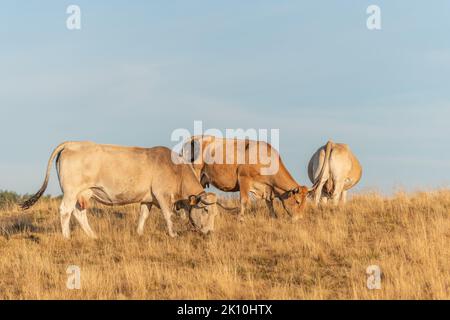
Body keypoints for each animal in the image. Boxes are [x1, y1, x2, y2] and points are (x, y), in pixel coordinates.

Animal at [20, 141, 221, 239]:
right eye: (205, 210)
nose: (210, 232)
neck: (176, 170)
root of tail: (71, 143)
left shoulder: (148, 199)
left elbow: (143, 216)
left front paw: (139, 233)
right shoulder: (162, 195)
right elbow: (167, 215)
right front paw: (173, 234)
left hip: (83, 193)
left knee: (78, 213)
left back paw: (93, 236)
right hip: (71, 191)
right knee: (65, 211)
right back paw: (67, 237)